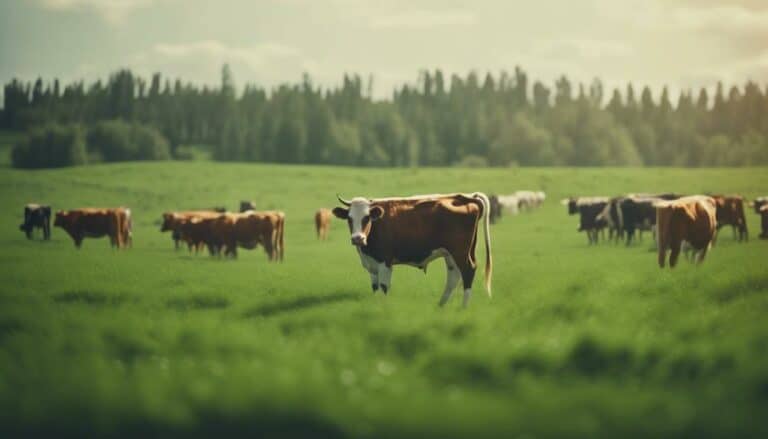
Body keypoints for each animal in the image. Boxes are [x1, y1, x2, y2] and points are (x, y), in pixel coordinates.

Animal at [334, 192, 492, 310]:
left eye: (367, 218)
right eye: (349, 219)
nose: (357, 238)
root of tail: (465, 197)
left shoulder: (385, 262)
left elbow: (384, 287)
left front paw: (383, 308)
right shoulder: (372, 265)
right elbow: (375, 288)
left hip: (460, 251)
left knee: (468, 271)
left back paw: (463, 307)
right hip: (450, 254)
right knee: (454, 276)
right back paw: (440, 305)